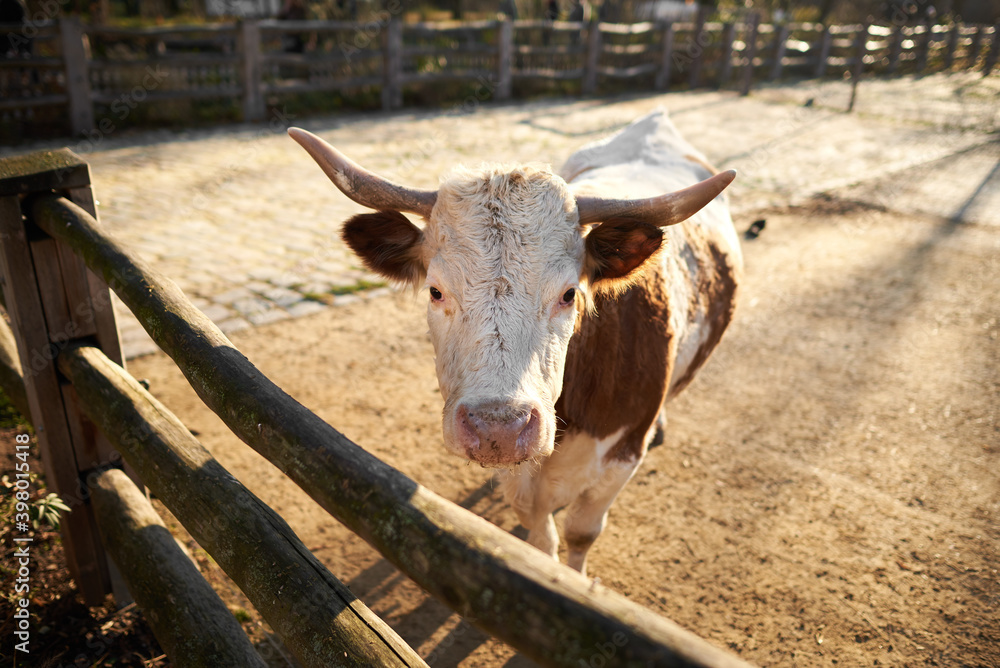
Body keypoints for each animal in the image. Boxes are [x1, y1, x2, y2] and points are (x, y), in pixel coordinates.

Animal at [290, 111, 744, 576]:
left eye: (569, 294)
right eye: (435, 291)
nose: (499, 429)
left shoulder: (622, 454)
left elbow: (582, 532)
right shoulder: (519, 478)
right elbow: (540, 539)